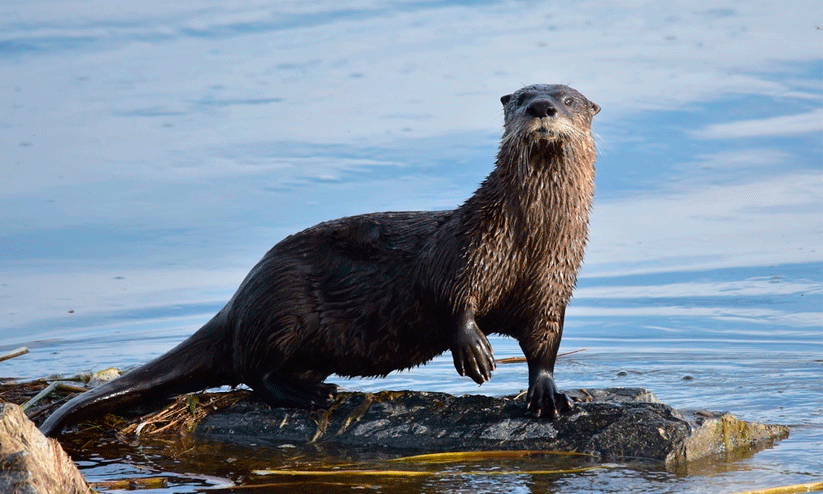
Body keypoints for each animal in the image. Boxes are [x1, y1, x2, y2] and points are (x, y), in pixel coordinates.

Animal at [40, 84, 600, 436]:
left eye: (568, 99)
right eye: (521, 97)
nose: (543, 107)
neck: (528, 242)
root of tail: (238, 300)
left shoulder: (552, 284)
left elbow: (545, 343)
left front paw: (548, 395)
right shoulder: (466, 250)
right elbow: (449, 297)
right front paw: (475, 350)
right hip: (282, 309)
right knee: (253, 372)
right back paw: (310, 395)